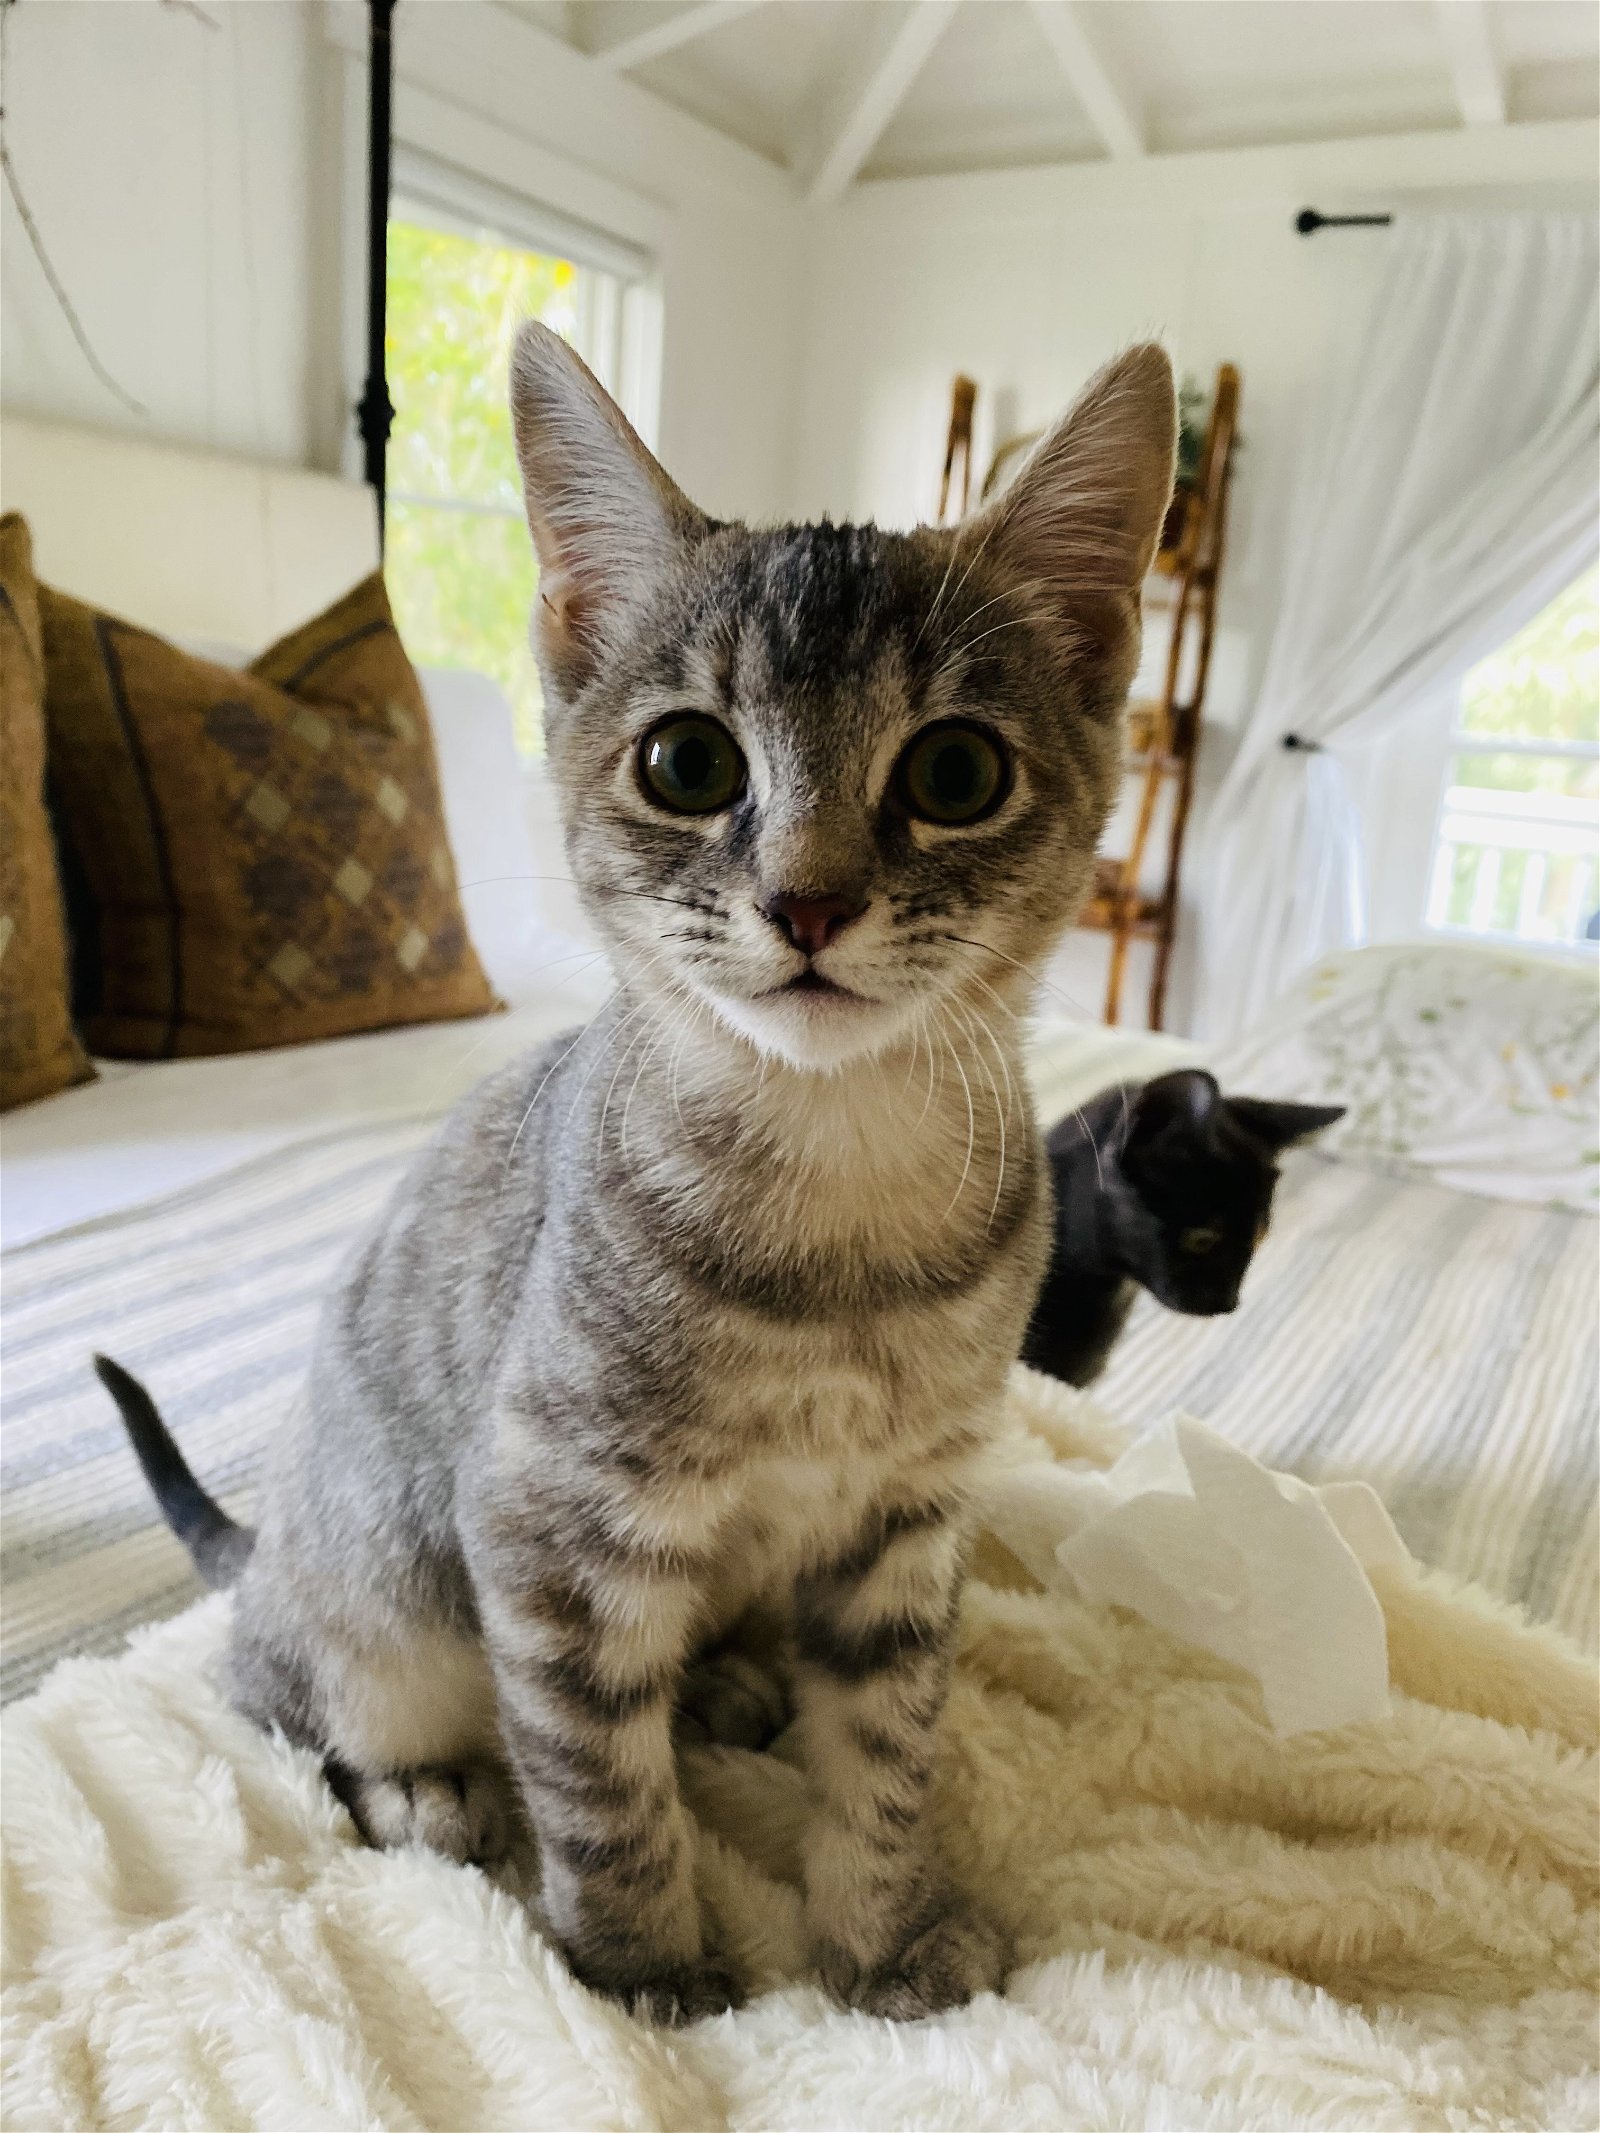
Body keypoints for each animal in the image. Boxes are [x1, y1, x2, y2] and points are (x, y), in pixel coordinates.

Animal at [97, 324, 1177, 2022]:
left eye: (954, 772)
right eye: (688, 761)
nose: (809, 901)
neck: (838, 1212)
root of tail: (265, 1558)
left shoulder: (904, 1530)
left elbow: (887, 1756)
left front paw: (881, 1936)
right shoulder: (543, 1523)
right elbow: (599, 1780)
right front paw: (646, 1966)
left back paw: (728, 1680)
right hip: (383, 1610)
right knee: (283, 1706)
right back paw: (427, 1789)